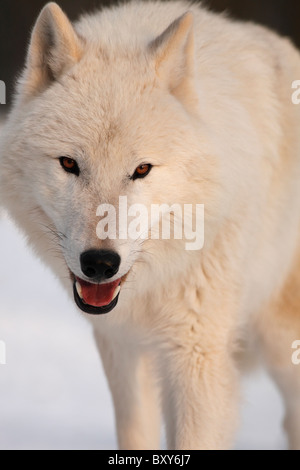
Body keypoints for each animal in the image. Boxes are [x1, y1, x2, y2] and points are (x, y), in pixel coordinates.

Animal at [0, 0, 300, 450]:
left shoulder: (196, 352)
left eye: (142, 169)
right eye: (69, 164)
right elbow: (135, 432)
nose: (100, 264)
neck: (153, 283)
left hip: (283, 342)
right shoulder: (121, 345)